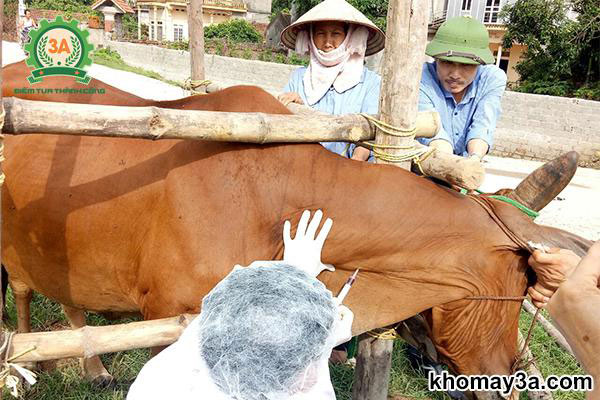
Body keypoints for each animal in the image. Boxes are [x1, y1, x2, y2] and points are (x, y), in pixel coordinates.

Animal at [1, 61, 592, 396]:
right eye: (519, 288)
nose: (508, 377)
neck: (277, 198)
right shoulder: (168, 321)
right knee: (25, 292)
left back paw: (89, 366)